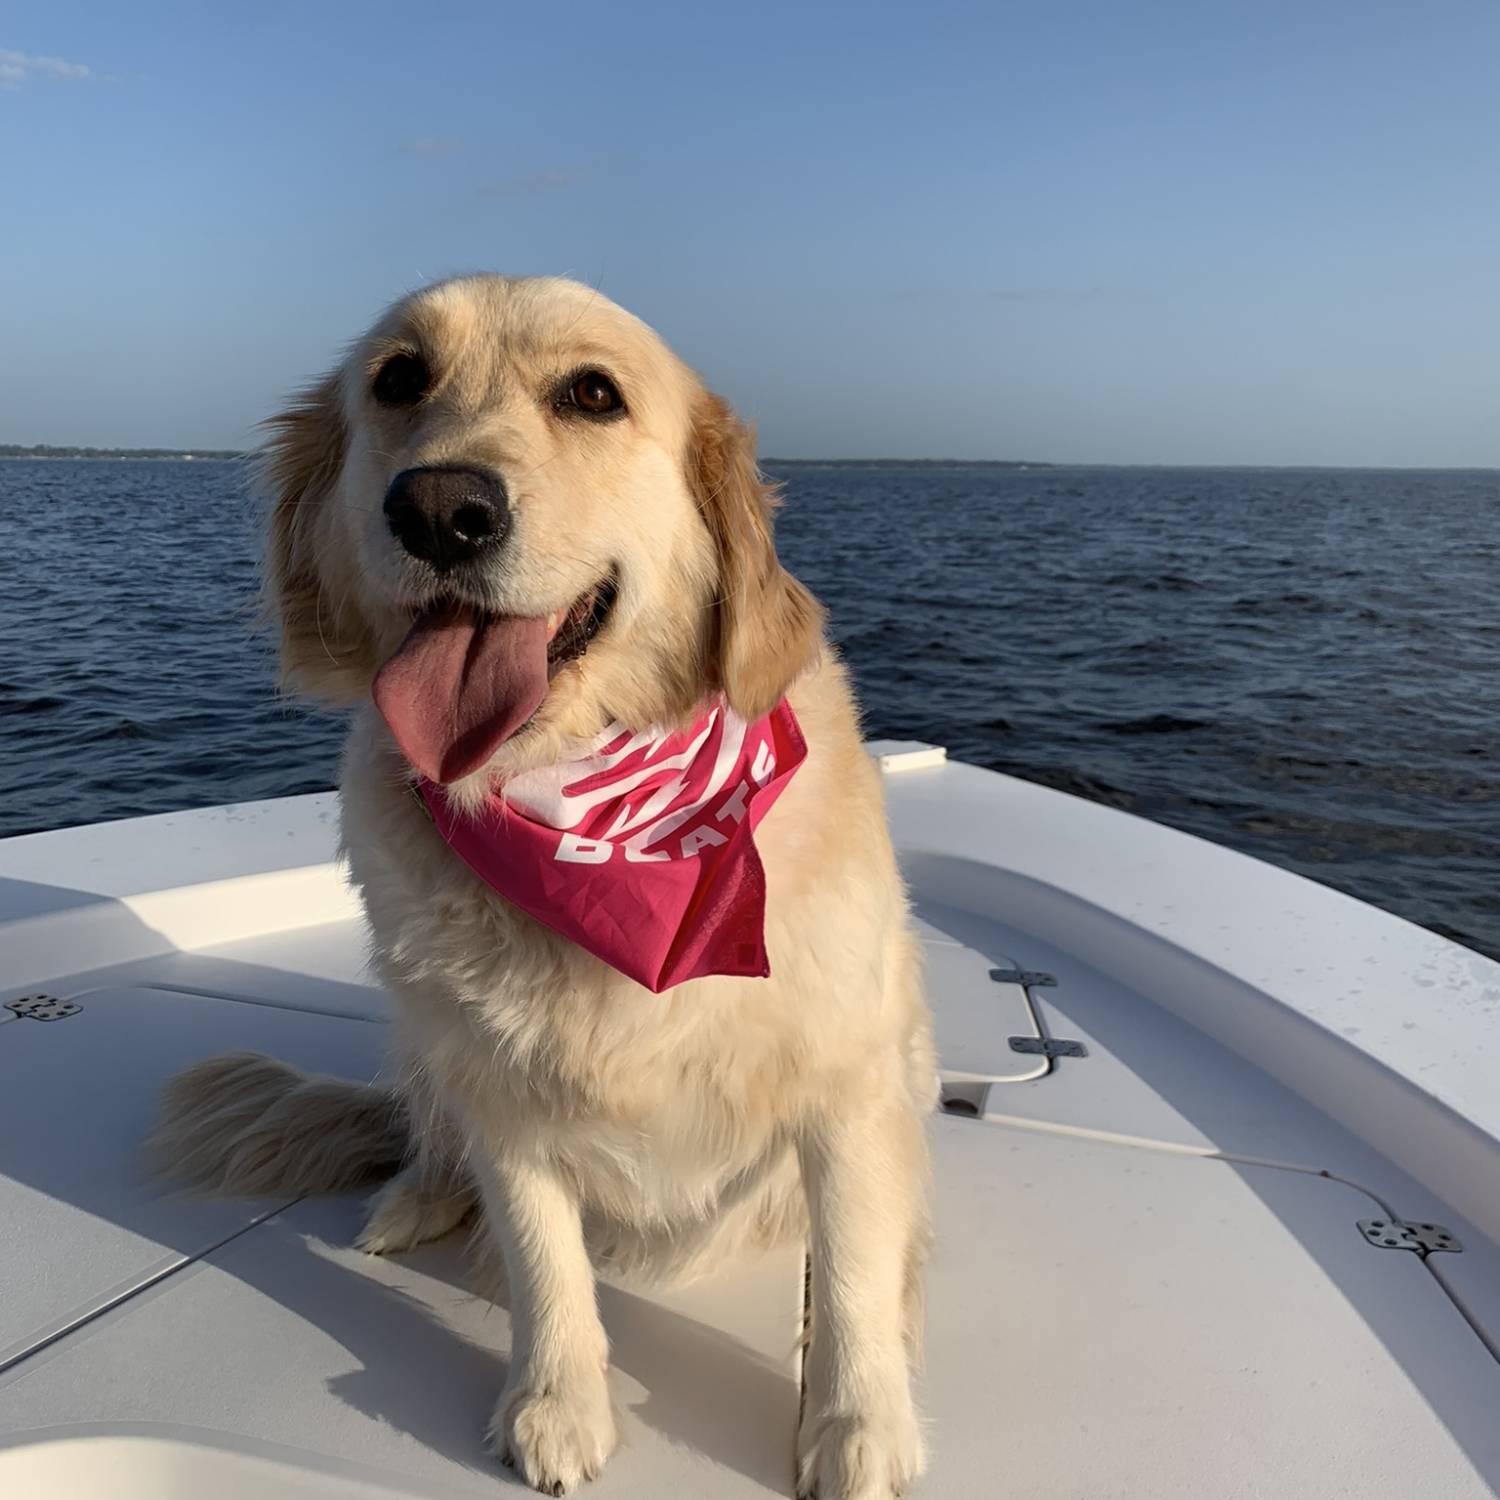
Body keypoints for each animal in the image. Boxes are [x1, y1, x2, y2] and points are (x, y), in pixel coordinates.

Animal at [161, 276, 936, 1494]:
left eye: (593, 395)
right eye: (398, 379)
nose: (440, 510)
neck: (585, 809)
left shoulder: (850, 1080)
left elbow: (853, 1268)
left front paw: (858, 1425)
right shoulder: (501, 1094)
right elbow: (541, 1257)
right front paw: (556, 1403)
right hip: (426, 1037)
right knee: (429, 1137)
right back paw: (413, 1200)